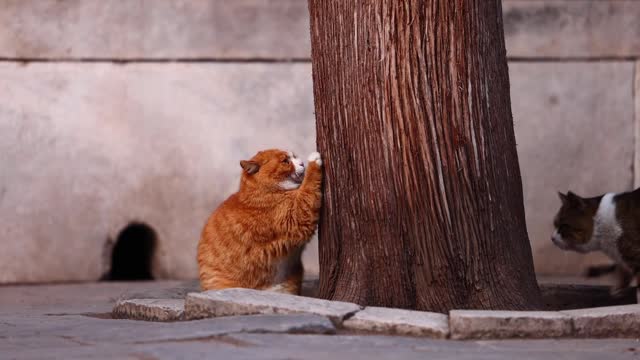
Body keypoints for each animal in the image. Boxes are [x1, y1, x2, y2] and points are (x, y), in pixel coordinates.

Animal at [198, 148, 322, 294]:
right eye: (285, 161)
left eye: (294, 157)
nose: (302, 163)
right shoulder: (296, 217)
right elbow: (308, 187)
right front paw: (314, 160)